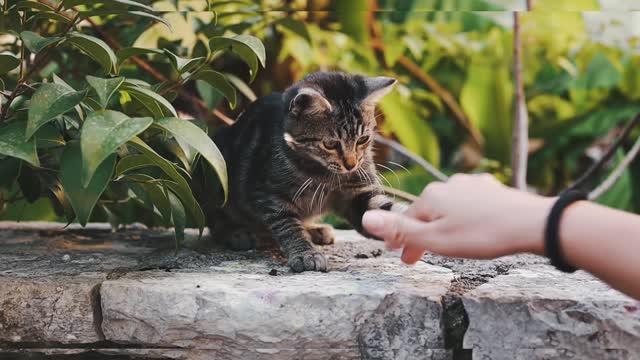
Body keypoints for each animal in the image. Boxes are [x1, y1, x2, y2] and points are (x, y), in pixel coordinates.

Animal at [205, 71, 402, 272]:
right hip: (214, 161)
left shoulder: (359, 190)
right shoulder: (268, 194)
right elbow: (288, 226)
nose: (351, 164)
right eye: (330, 144)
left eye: (363, 139)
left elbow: (381, 210)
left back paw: (315, 230)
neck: (325, 173)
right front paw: (306, 253)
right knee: (215, 219)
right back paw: (235, 233)